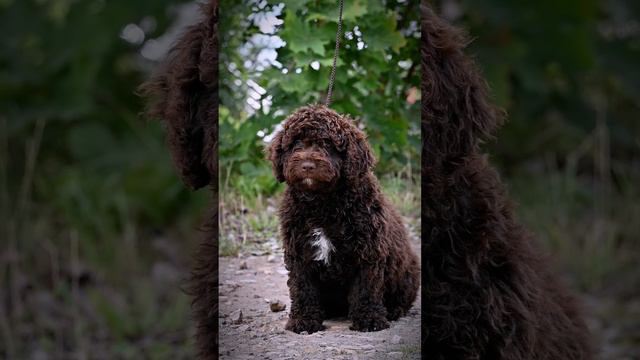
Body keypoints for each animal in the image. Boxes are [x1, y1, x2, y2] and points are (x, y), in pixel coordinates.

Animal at [264, 104, 420, 334]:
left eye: (328, 144)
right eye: (297, 144)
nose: (307, 165)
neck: (322, 202)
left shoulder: (368, 251)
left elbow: (366, 288)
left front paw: (369, 320)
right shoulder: (299, 252)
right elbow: (302, 287)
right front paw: (303, 320)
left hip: (407, 272)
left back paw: (392, 310)